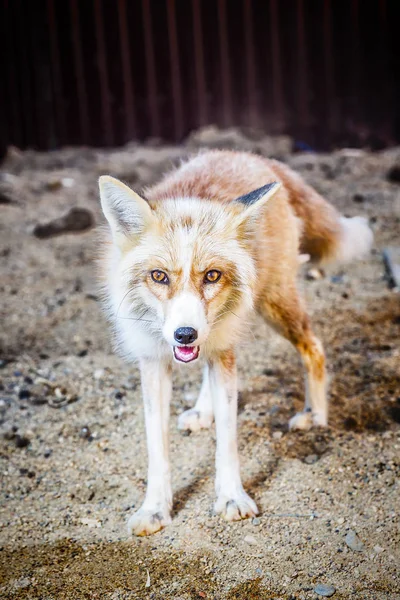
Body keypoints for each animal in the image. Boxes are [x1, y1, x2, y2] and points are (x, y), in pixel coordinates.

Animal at [98, 150, 374, 540]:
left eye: (212, 275)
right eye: (159, 276)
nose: (185, 334)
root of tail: (252, 156)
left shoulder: (222, 350)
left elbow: (227, 440)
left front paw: (231, 497)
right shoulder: (153, 361)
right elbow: (157, 448)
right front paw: (155, 508)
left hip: (274, 306)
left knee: (314, 347)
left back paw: (315, 415)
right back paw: (203, 410)